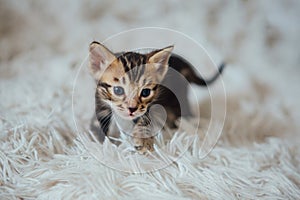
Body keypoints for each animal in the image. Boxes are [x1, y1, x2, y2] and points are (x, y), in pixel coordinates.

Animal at [88, 41, 224, 155]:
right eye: (118, 90)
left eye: (145, 92)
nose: (131, 109)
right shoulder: (100, 104)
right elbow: (97, 125)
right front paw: (99, 143)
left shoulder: (145, 108)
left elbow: (143, 119)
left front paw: (144, 140)